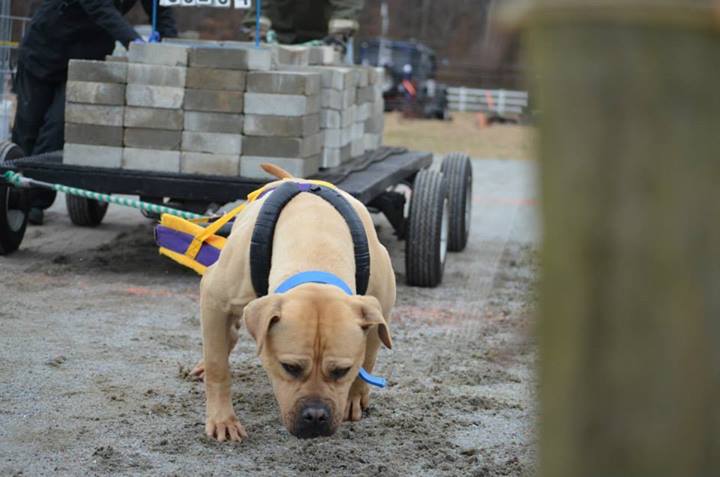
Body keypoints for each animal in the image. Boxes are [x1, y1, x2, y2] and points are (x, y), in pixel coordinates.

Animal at [190, 165, 394, 442]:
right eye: (289, 367)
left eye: (342, 370)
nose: (316, 416)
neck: (316, 244)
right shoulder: (214, 297)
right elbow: (217, 365)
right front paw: (223, 420)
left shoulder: (377, 307)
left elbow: (369, 355)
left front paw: (355, 394)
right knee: (217, 342)